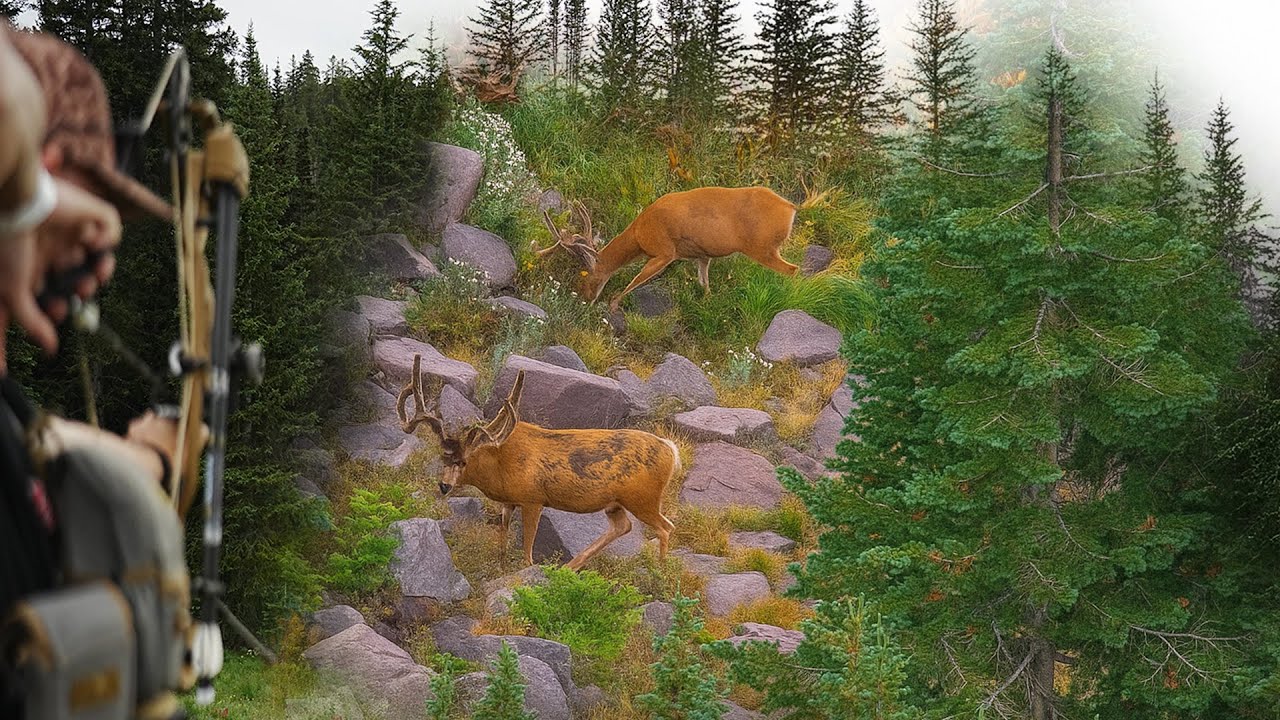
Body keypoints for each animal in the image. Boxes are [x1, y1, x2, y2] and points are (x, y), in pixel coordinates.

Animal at [397, 354, 679, 570]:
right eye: (442, 456)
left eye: (464, 461)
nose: (444, 486)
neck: (499, 464)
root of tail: (671, 450)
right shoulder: (508, 501)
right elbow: (502, 540)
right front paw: (501, 567)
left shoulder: (533, 498)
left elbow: (527, 549)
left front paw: (526, 568)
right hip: (616, 502)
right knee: (624, 526)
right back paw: (570, 566)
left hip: (643, 498)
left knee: (665, 527)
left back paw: (660, 570)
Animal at [537, 187, 819, 312]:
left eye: (584, 275)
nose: (584, 299)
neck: (639, 233)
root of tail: (791, 208)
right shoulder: (701, 255)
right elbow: (705, 285)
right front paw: (708, 304)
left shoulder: (664, 251)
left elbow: (635, 280)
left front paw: (614, 304)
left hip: (762, 248)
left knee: (793, 270)